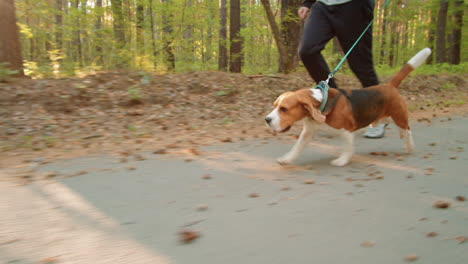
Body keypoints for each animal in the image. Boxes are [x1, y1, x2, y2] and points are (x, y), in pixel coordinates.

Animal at [266, 48, 434, 166]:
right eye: (275, 106)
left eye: (284, 109)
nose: (267, 120)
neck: (322, 102)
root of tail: (389, 86)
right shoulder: (308, 132)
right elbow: (297, 147)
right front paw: (286, 159)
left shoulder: (346, 130)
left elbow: (347, 148)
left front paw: (342, 161)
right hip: (387, 117)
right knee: (402, 129)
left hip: (398, 115)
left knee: (408, 130)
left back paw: (409, 147)